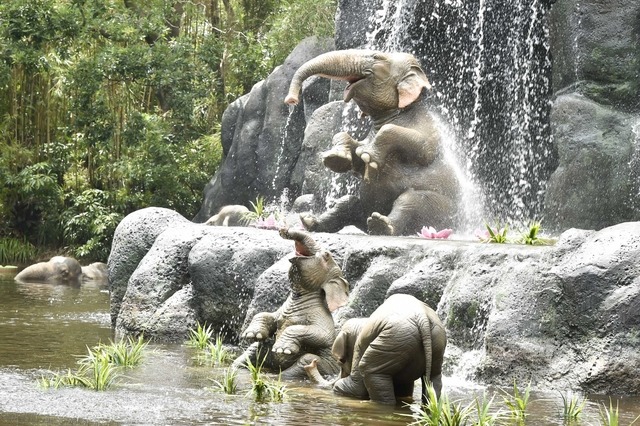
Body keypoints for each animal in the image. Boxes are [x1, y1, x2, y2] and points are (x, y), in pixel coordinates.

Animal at [231, 228, 350, 382]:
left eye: (326, 255)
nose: (284, 229)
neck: (298, 295)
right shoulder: (280, 311)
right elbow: (266, 315)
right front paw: (252, 335)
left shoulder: (321, 316)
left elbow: (322, 335)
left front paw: (282, 349)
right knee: (253, 350)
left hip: (326, 366)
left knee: (306, 360)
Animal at [284, 50, 460, 236]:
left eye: (376, 57)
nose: (291, 100)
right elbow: (352, 149)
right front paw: (336, 159)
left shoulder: (430, 131)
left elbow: (422, 149)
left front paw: (368, 156)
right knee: (347, 202)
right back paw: (310, 222)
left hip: (444, 211)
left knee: (410, 200)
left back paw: (382, 225)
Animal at [304, 292, 444, 406]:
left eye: (340, 361)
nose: (312, 362)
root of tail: (422, 317)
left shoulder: (359, 347)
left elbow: (356, 387)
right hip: (434, 343)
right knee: (434, 377)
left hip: (393, 340)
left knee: (369, 369)